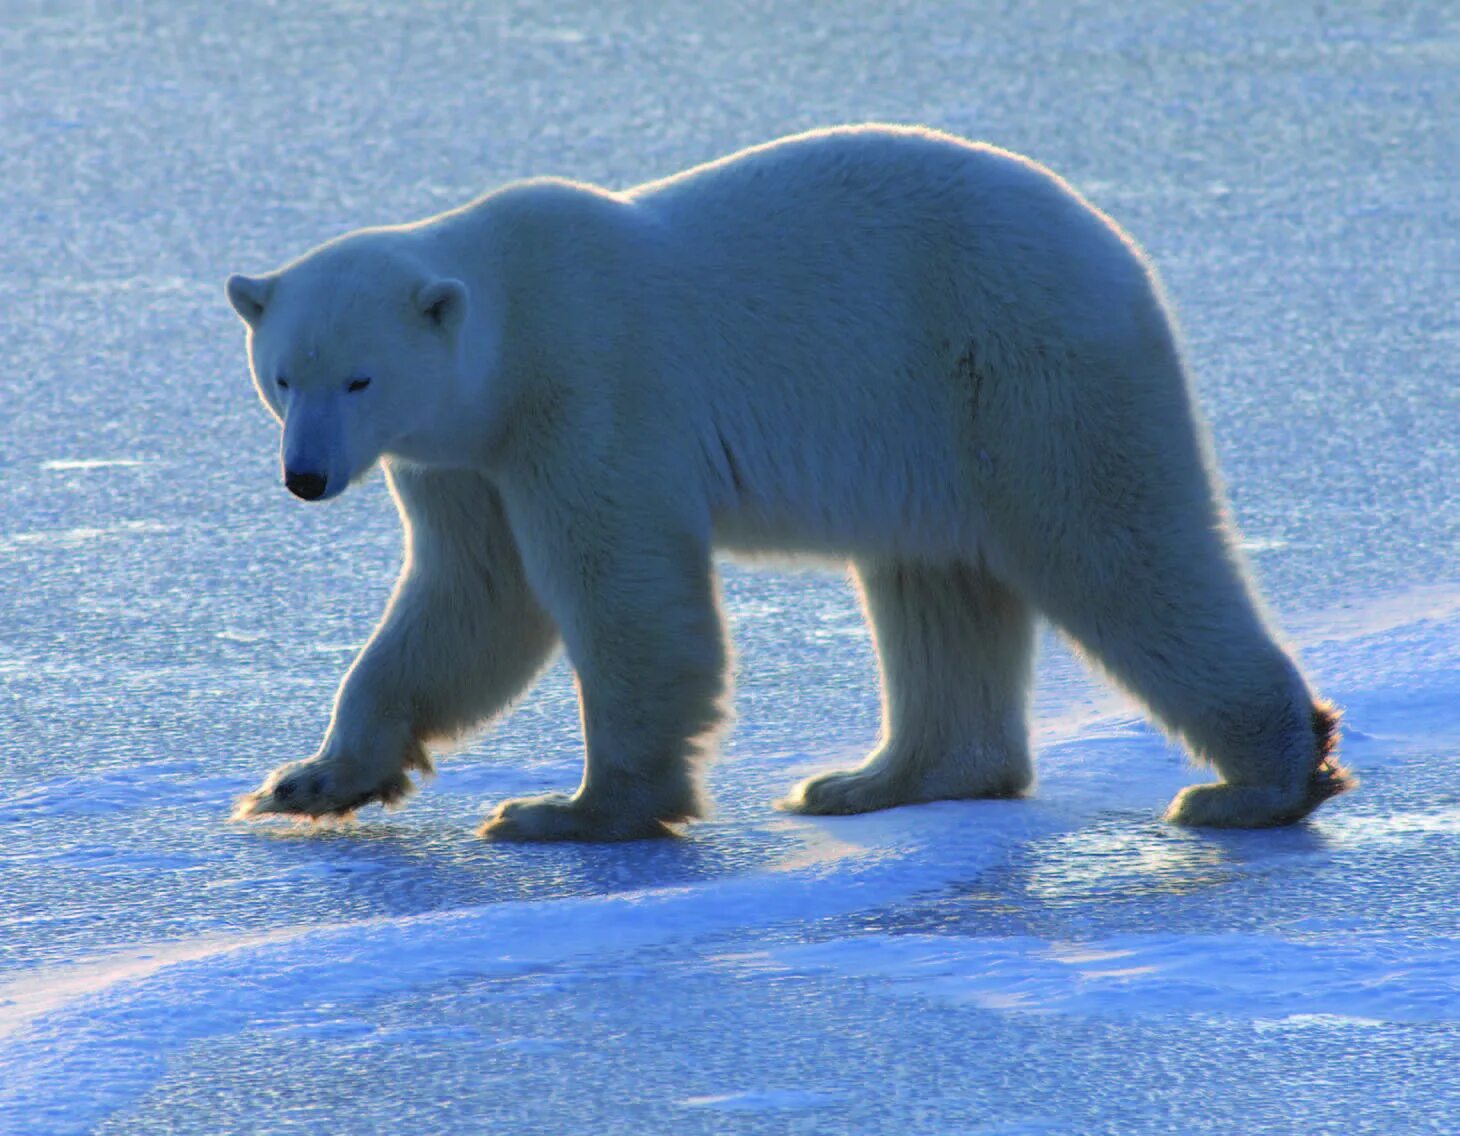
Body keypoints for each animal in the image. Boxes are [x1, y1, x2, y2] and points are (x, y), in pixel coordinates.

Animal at [221, 124, 1349, 835]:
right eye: (283, 375)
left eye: (359, 376)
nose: (306, 476)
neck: (511, 321)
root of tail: (1120, 254)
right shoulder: (463, 456)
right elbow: (471, 600)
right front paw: (309, 780)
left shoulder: (587, 394)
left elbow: (622, 594)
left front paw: (574, 811)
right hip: (936, 433)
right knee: (936, 588)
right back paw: (876, 778)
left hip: (1018, 368)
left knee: (1117, 549)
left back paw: (1260, 779)